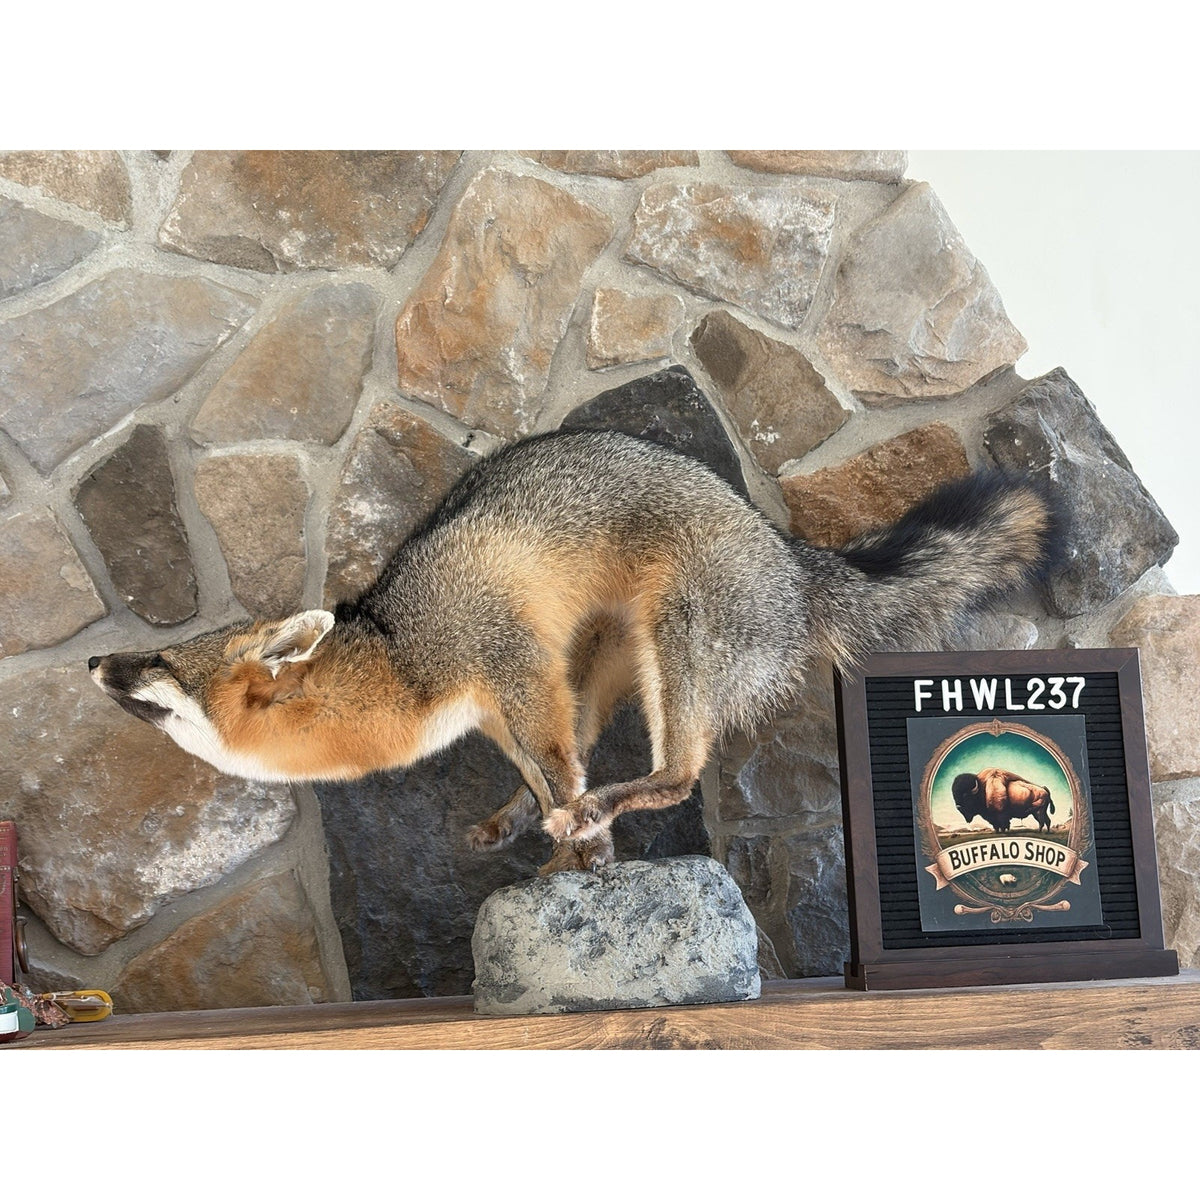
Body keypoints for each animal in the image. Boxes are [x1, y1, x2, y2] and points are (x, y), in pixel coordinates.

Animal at [89, 429, 1057, 874]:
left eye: (158, 664)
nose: (91, 665)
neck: (397, 655)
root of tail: (789, 553)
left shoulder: (509, 663)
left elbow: (561, 774)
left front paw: (583, 848)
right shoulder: (503, 709)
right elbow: (542, 770)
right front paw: (556, 849)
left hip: (674, 644)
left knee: (678, 772)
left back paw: (592, 815)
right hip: (593, 668)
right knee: (598, 762)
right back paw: (535, 829)